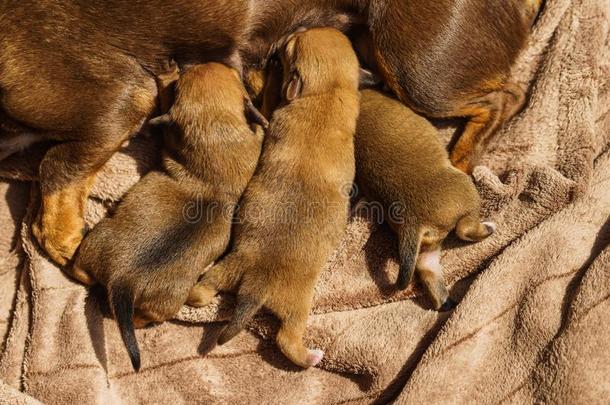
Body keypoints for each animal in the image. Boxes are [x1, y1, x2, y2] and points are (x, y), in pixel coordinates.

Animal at [1, 0, 540, 266]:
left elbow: (54, 180)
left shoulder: (119, 100)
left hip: (417, 64)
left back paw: (460, 164)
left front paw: (71, 248)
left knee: (505, 97)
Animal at [190, 28, 358, 368]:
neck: (325, 91)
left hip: (225, 271)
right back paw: (310, 357)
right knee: (286, 339)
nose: (295, 31)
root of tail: (256, 285)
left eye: (290, 47)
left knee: (203, 293)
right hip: (297, 307)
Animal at [354, 88, 492, 310]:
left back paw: (445, 303)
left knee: (428, 269)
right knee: (465, 229)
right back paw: (487, 229)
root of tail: (413, 223)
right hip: (468, 193)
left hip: (427, 247)